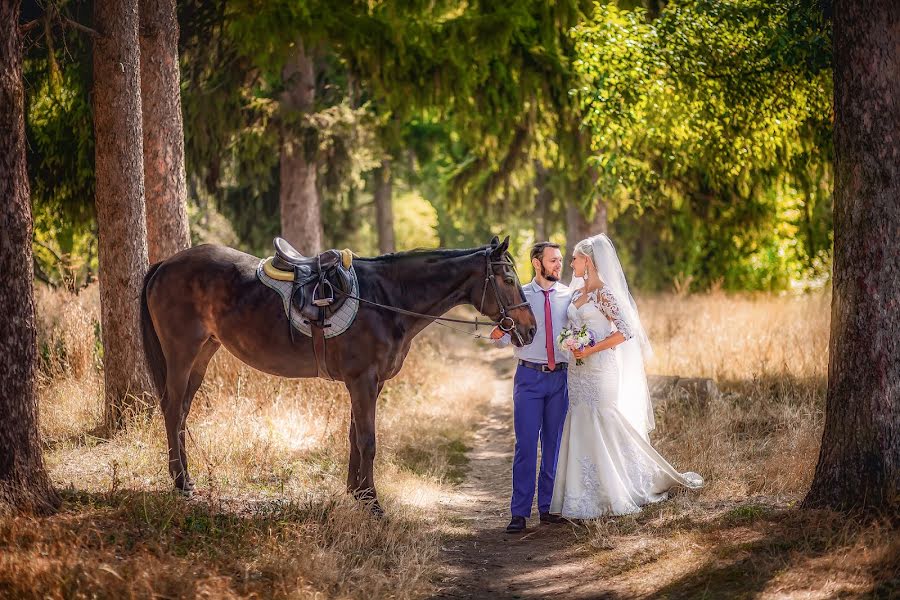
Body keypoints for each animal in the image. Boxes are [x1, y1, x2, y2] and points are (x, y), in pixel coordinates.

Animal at [139, 234, 536, 510]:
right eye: (506, 278)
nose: (530, 329)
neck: (386, 299)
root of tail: (166, 263)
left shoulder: (368, 384)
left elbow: (354, 436)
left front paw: (356, 493)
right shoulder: (363, 381)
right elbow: (368, 440)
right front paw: (372, 503)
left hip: (204, 352)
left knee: (182, 411)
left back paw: (186, 478)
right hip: (182, 353)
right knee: (172, 409)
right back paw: (181, 482)